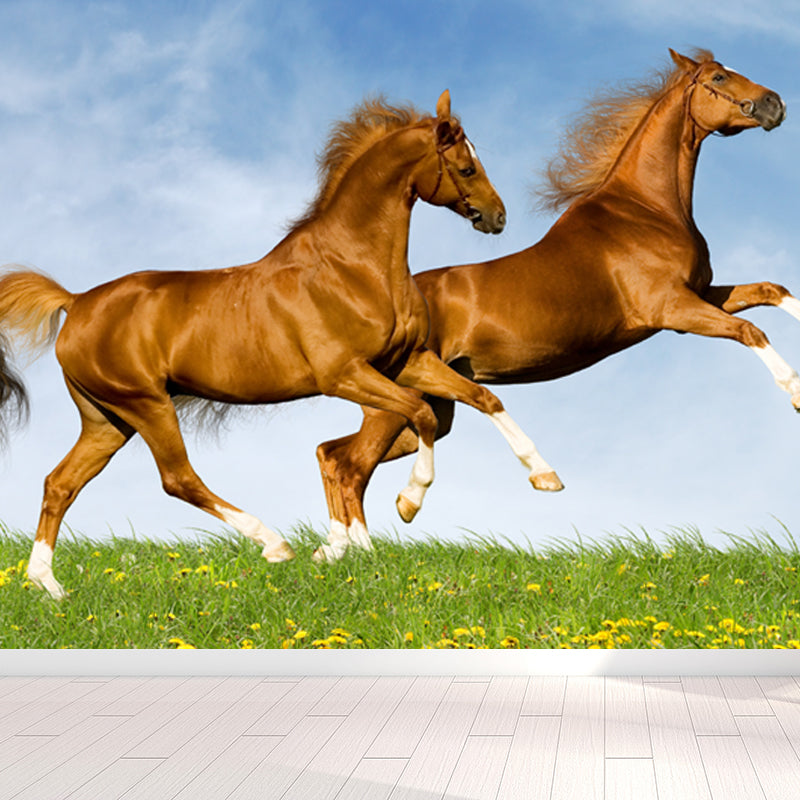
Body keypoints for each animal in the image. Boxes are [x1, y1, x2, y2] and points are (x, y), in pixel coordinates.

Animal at [0, 90, 563, 599]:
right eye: (466, 168)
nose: (498, 217)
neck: (354, 266)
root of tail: (76, 302)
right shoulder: (344, 375)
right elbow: (419, 415)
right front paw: (406, 504)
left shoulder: (406, 362)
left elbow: (483, 397)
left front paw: (545, 477)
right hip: (147, 404)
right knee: (177, 478)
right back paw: (274, 544)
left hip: (106, 419)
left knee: (60, 483)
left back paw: (48, 585)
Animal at [314, 49, 793, 559]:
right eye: (719, 77)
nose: (775, 103)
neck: (647, 210)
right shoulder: (674, 310)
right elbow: (750, 331)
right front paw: (796, 394)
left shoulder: (703, 295)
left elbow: (773, 291)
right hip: (396, 406)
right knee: (349, 465)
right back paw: (373, 540)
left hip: (430, 409)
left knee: (333, 453)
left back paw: (335, 548)